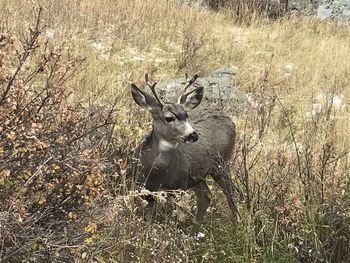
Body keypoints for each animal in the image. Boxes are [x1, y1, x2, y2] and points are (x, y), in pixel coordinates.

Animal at [130, 73, 239, 234]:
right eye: (169, 118)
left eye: (186, 115)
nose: (193, 135)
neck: (154, 170)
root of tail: (229, 119)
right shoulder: (144, 187)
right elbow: (148, 217)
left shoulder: (176, 186)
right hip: (197, 174)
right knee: (206, 195)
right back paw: (193, 234)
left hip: (221, 163)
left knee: (231, 193)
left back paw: (239, 225)